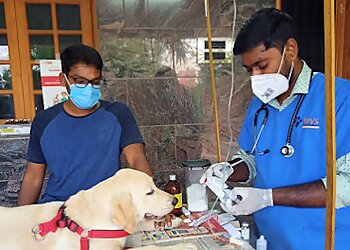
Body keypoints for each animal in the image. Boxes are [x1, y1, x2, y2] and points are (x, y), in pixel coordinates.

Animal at [0, 169, 197, 249]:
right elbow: (152, 248)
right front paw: (185, 245)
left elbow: (141, 224)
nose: (174, 200)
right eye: (149, 192)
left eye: (155, 186)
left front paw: (173, 221)